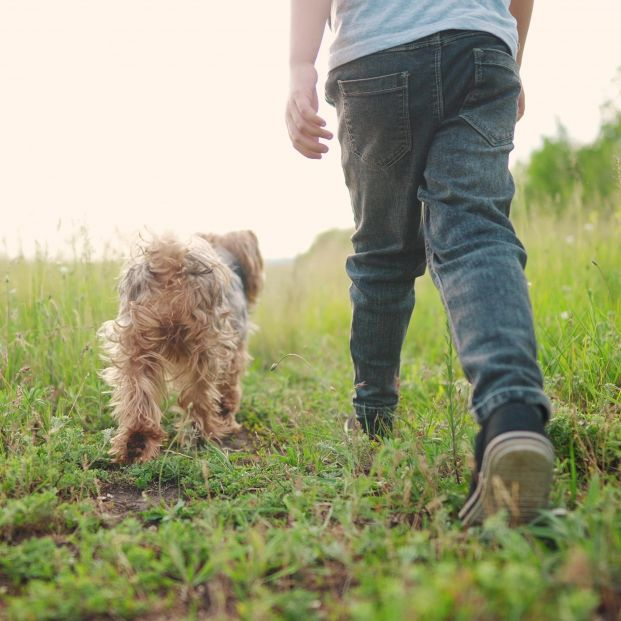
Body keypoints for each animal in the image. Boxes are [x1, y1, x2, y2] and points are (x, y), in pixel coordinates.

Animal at [98, 229, 262, 460]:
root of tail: (171, 260)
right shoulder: (234, 350)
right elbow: (229, 390)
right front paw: (228, 417)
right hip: (205, 345)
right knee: (199, 395)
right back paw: (203, 435)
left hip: (135, 340)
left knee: (137, 389)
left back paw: (136, 441)